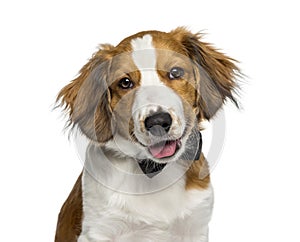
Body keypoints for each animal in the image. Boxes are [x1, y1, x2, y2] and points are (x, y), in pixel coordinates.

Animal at [54, 27, 239, 241]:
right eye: (125, 82)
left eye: (176, 72)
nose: (158, 121)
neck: (154, 171)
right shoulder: (98, 230)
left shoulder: (196, 227)